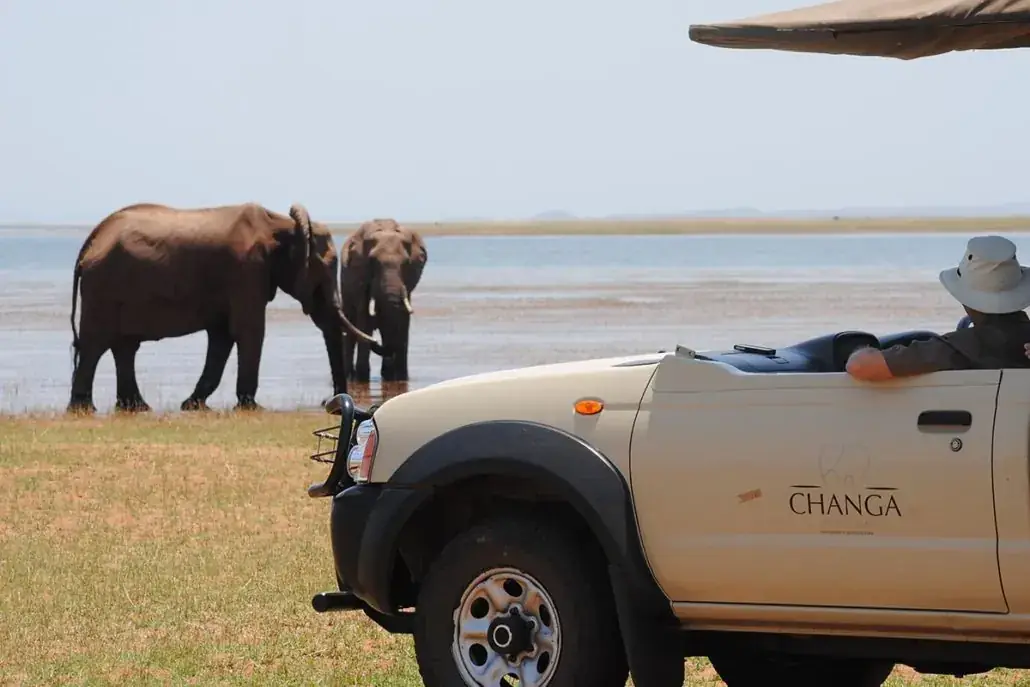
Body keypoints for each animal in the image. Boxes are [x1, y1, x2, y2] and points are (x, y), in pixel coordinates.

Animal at [66, 201, 385, 414]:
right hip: (102, 287)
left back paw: (135, 407)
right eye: (327, 269)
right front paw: (251, 406)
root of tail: (89, 243)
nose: (328, 402)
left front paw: (192, 405)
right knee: (96, 344)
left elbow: (222, 336)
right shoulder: (246, 271)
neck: (279, 224)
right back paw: (84, 408)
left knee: (124, 347)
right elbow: (249, 330)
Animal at [340, 218, 427, 383]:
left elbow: (402, 321)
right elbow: (365, 320)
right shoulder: (361, 278)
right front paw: (362, 378)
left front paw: (401, 378)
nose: (375, 342)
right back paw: (350, 376)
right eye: (373, 262)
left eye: (406, 263)